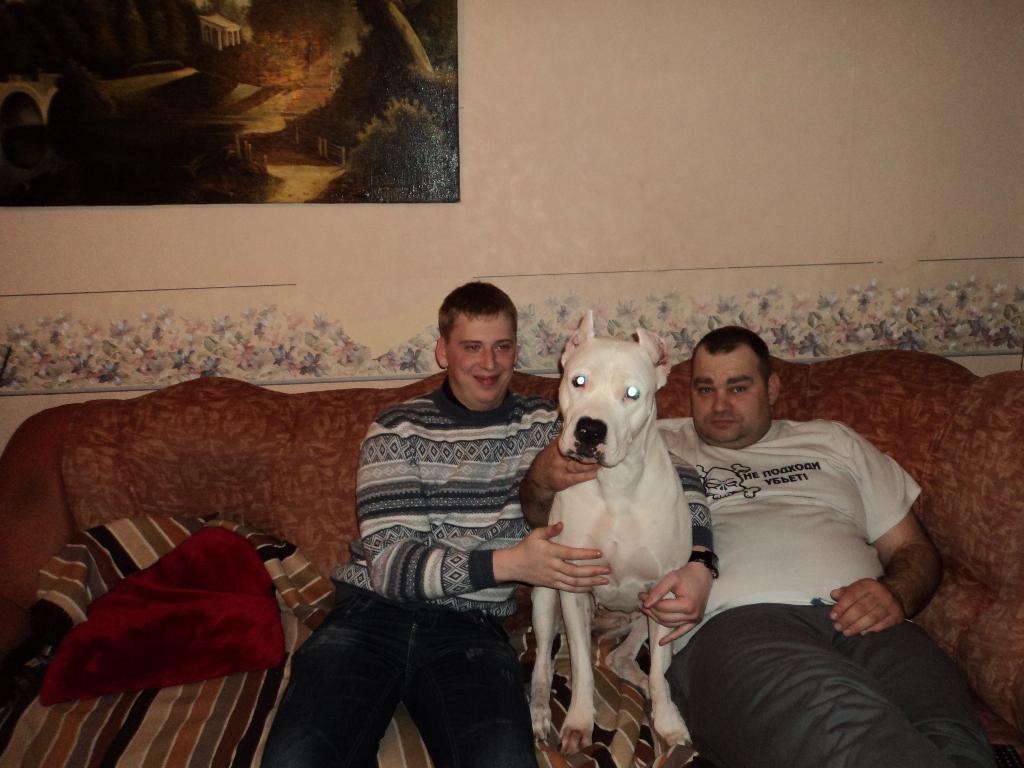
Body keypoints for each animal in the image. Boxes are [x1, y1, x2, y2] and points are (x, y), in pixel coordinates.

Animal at [529, 311, 692, 754]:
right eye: (578, 381)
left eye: (632, 393)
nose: (589, 430)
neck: (616, 487)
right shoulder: (572, 588)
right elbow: (583, 669)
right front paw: (580, 721)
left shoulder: (666, 591)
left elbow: (660, 667)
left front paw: (668, 722)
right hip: (545, 596)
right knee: (544, 662)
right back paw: (540, 713)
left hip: (663, 614)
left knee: (627, 659)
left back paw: (649, 690)